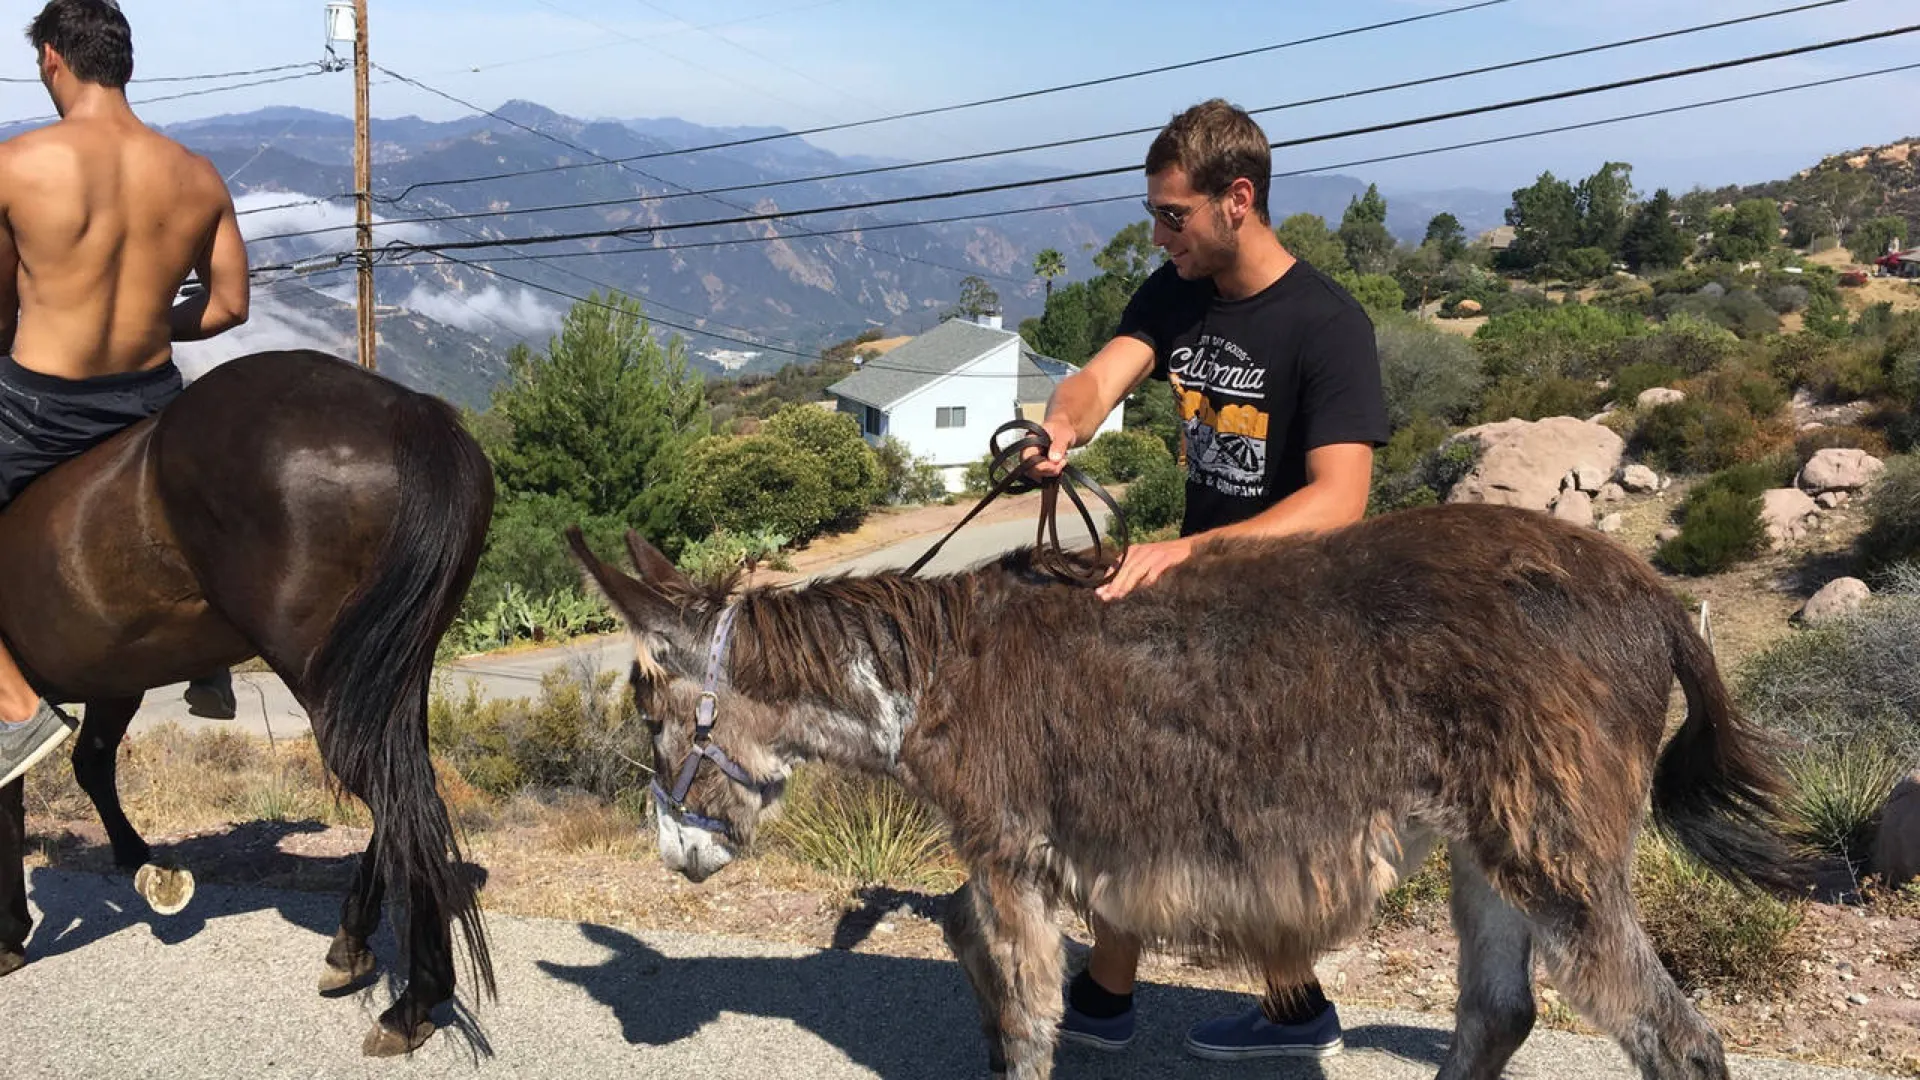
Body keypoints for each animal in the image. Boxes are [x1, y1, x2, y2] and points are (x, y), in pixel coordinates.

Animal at [0, 349, 497, 1056]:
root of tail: (405, 407)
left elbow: (12, 805)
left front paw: (12, 931)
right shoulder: (114, 682)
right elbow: (86, 766)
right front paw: (141, 866)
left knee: (402, 801)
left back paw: (413, 1004)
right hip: (388, 674)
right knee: (409, 796)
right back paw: (354, 948)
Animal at [566, 501, 1811, 1080]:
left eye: (647, 712)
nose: (674, 856)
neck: (927, 675)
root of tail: (1648, 590)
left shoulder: (1006, 848)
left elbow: (1024, 998)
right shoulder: (1012, 861)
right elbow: (976, 955)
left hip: (1552, 847)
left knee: (1673, 1040)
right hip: (1485, 845)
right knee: (1499, 1013)